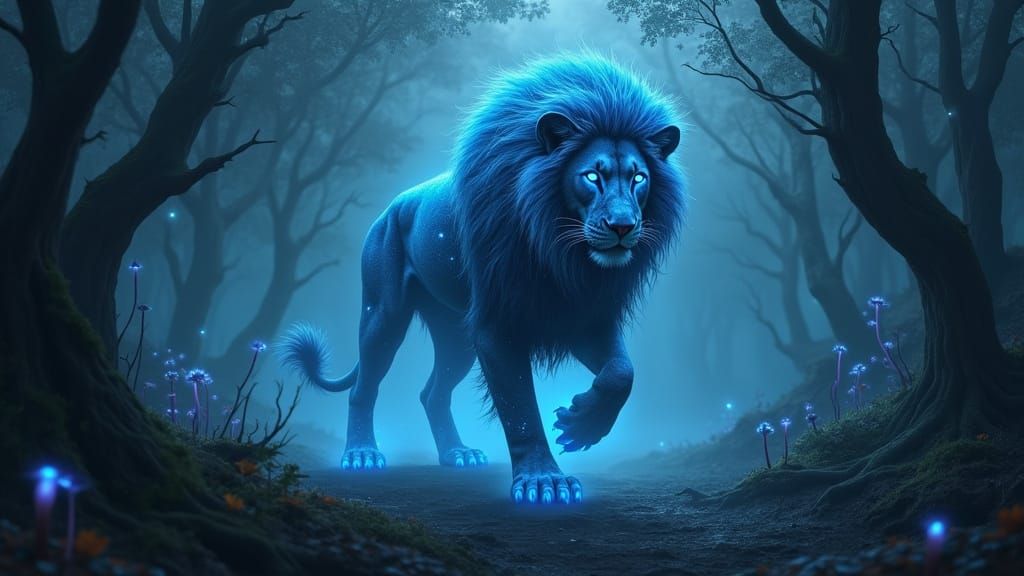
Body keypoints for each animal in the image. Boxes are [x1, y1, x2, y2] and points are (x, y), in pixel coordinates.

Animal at [281, 53, 685, 505]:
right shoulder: (498, 325)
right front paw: (544, 482)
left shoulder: (583, 315)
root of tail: (392, 206)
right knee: (363, 387)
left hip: (455, 335)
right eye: (592, 176)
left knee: (433, 393)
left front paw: (580, 426)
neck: (561, 254)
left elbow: (622, 373)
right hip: (383, 314)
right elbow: (520, 408)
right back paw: (362, 455)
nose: (622, 226)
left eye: (639, 178)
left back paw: (458, 454)